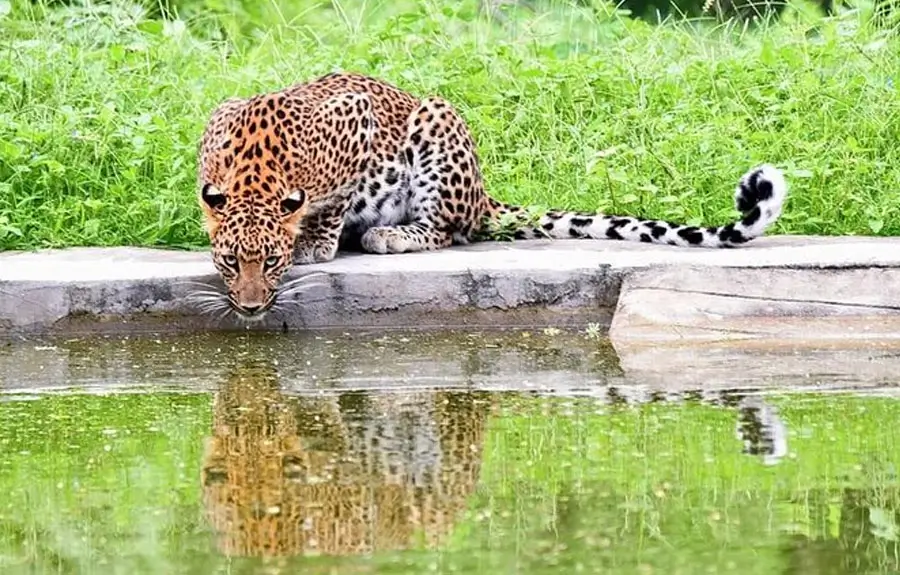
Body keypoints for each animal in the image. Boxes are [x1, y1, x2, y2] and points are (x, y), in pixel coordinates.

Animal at [197, 71, 788, 319]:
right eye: (228, 262)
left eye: (272, 262)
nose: (250, 307)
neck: (253, 173)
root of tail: (484, 194)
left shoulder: (356, 121)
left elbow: (332, 203)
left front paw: (315, 243)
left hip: (436, 121)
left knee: (447, 231)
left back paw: (389, 234)